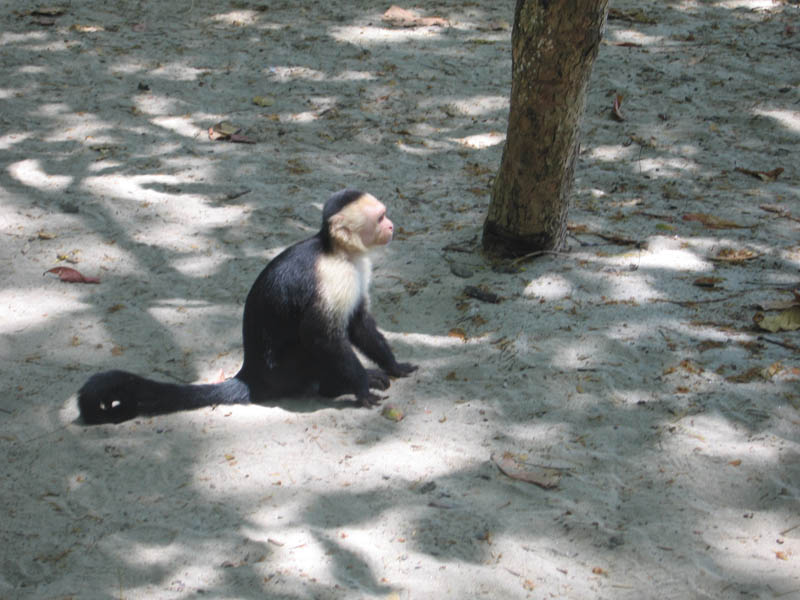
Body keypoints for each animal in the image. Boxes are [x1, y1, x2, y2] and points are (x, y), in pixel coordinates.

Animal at [79, 190, 418, 424]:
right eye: (379, 218)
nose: (391, 225)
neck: (339, 252)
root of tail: (250, 376)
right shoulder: (333, 276)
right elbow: (320, 336)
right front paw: (361, 388)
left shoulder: (358, 271)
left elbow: (360, 323)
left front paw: (393, 365)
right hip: (286, 372)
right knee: (312, 346)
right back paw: (336, 387)